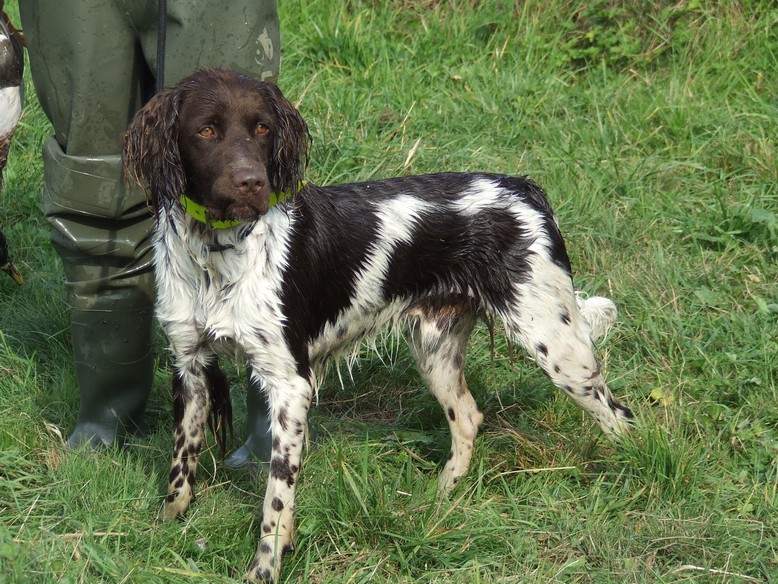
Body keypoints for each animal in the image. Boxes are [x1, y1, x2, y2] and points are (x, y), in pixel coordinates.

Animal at [123, 68, 633, 582]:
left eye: (262, 128)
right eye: (206, 130)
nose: (253, 183)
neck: (217, 254)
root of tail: (524, 189)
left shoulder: (290, 382)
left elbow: (276, 497)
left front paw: (265, 567)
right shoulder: (189, 363)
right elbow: (182, 461)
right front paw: (167, 525)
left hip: (557, 346)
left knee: (619, 416)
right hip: (435, 349)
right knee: (468, 418)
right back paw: (439, 500)